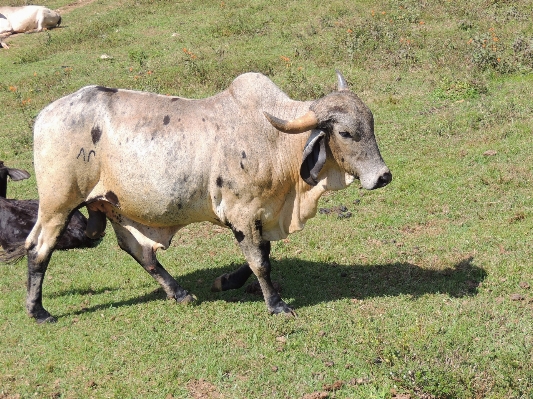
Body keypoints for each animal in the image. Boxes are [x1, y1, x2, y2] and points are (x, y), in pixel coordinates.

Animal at [25, 71, 390, 322]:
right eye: (345, 133)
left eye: (372, 124)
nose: (383, 176)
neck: (275, 141)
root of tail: (44, 115)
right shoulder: (241, 213)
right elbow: (261, 261)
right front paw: (276, 305)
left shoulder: (260, 213)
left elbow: (262, 254)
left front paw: (226, 281)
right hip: (58, 203)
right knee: (38, 248)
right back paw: (38, 311)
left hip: (112, 206)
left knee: (139, 251)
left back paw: (179, 293)